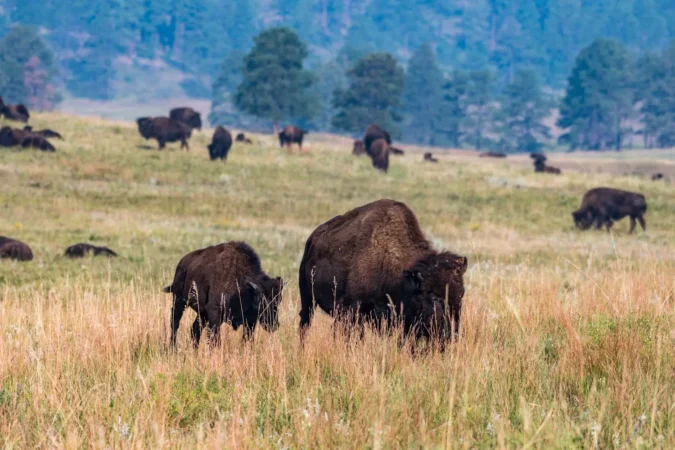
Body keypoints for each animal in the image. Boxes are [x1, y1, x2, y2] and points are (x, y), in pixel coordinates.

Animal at [298, 199, 468, 347]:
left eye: (461, 294)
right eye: (433, 297)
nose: (451, 334)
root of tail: (313, 239)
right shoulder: (351, 309)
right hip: (308, 299)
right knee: (305, 323)